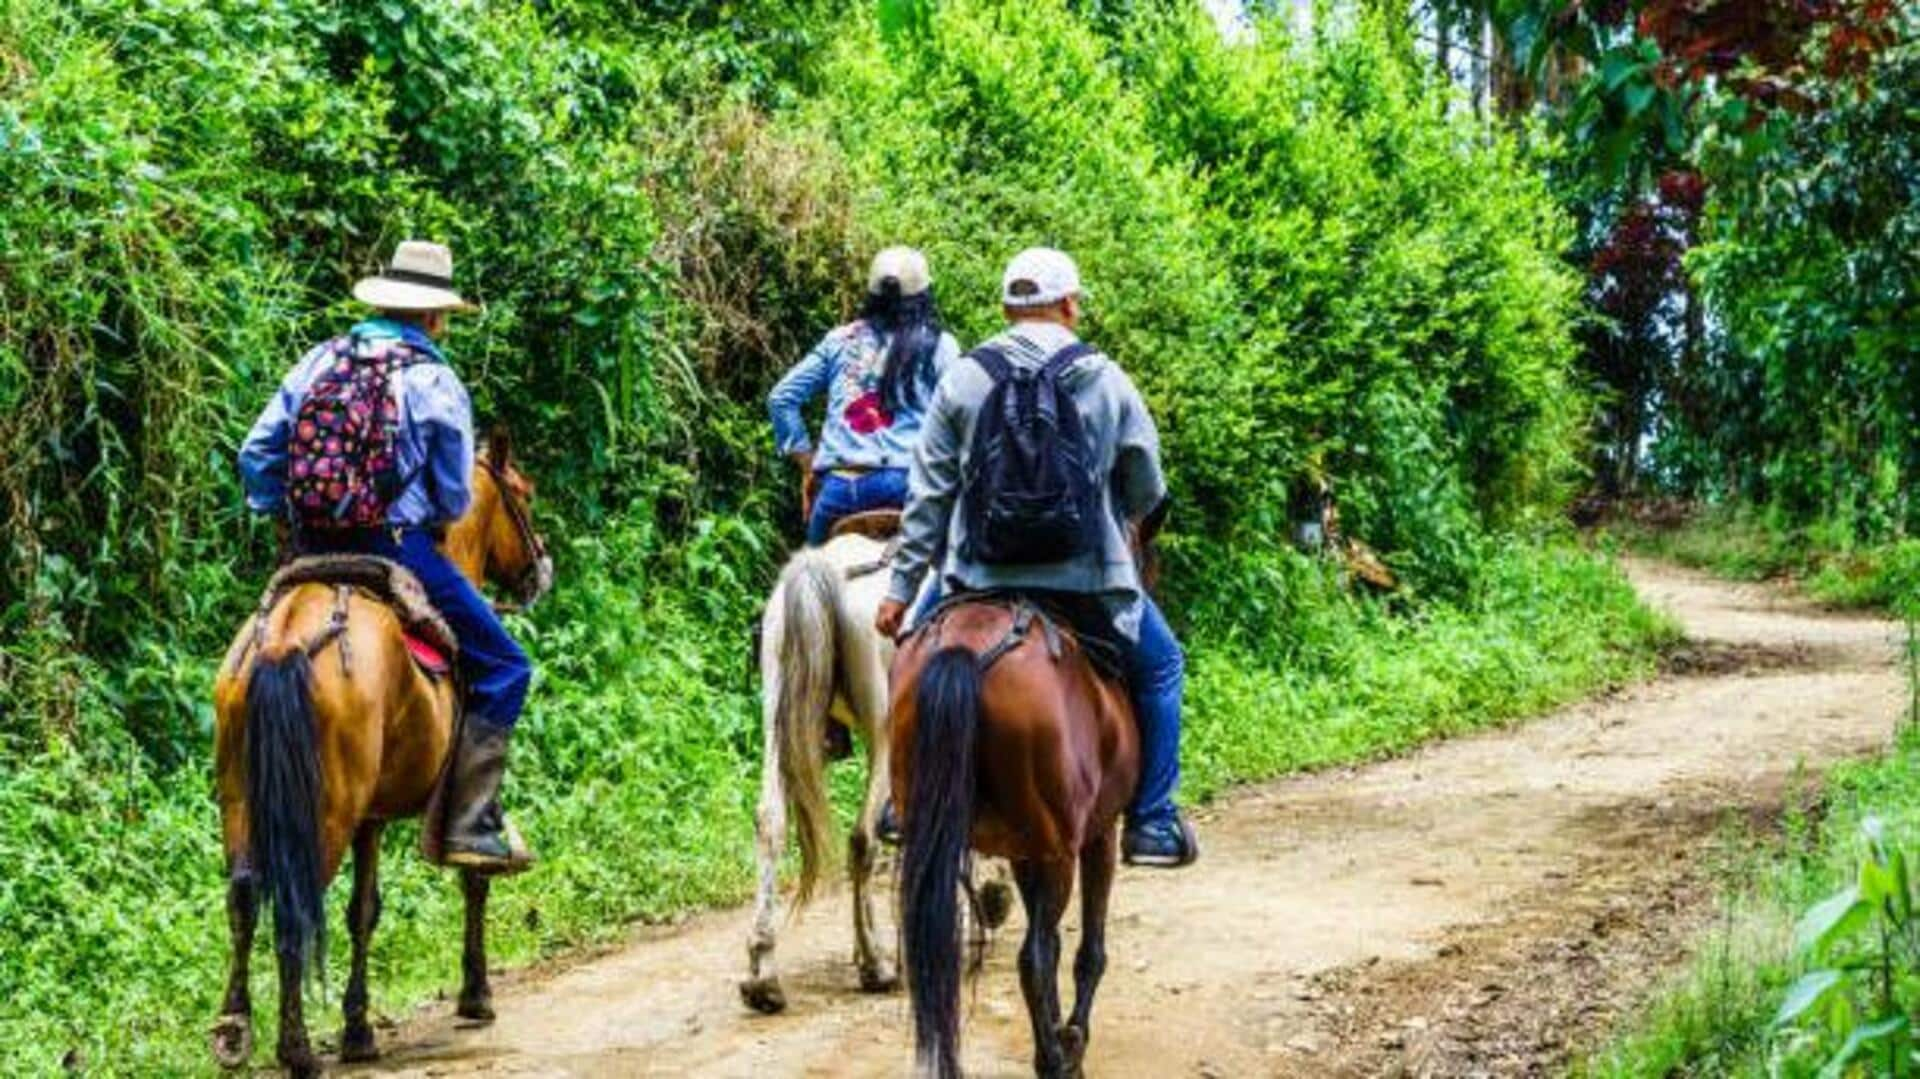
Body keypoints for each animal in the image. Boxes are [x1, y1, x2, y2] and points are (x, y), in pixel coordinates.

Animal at [209, 431, 549, 1067]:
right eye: (524, 493)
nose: (540, 569)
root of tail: (286, 641)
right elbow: (474, 873)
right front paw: (476, 994)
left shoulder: (371, 816)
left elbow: (363, 911)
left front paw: (358, 1027)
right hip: (324, 808)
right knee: (293, 901)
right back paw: (295, 1047)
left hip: (242, 795)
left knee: (244, 896)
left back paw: (233, 1029)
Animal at [887, 595, 1136, 1075]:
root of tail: (966, 648)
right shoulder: (1098, 835)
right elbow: (1086, 952)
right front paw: (1071, 1039)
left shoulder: (1024, 851)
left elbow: (1055, 942)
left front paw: (1059, 1029)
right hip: (1060, 850)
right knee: (1032, 959)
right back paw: (1055, 1059)